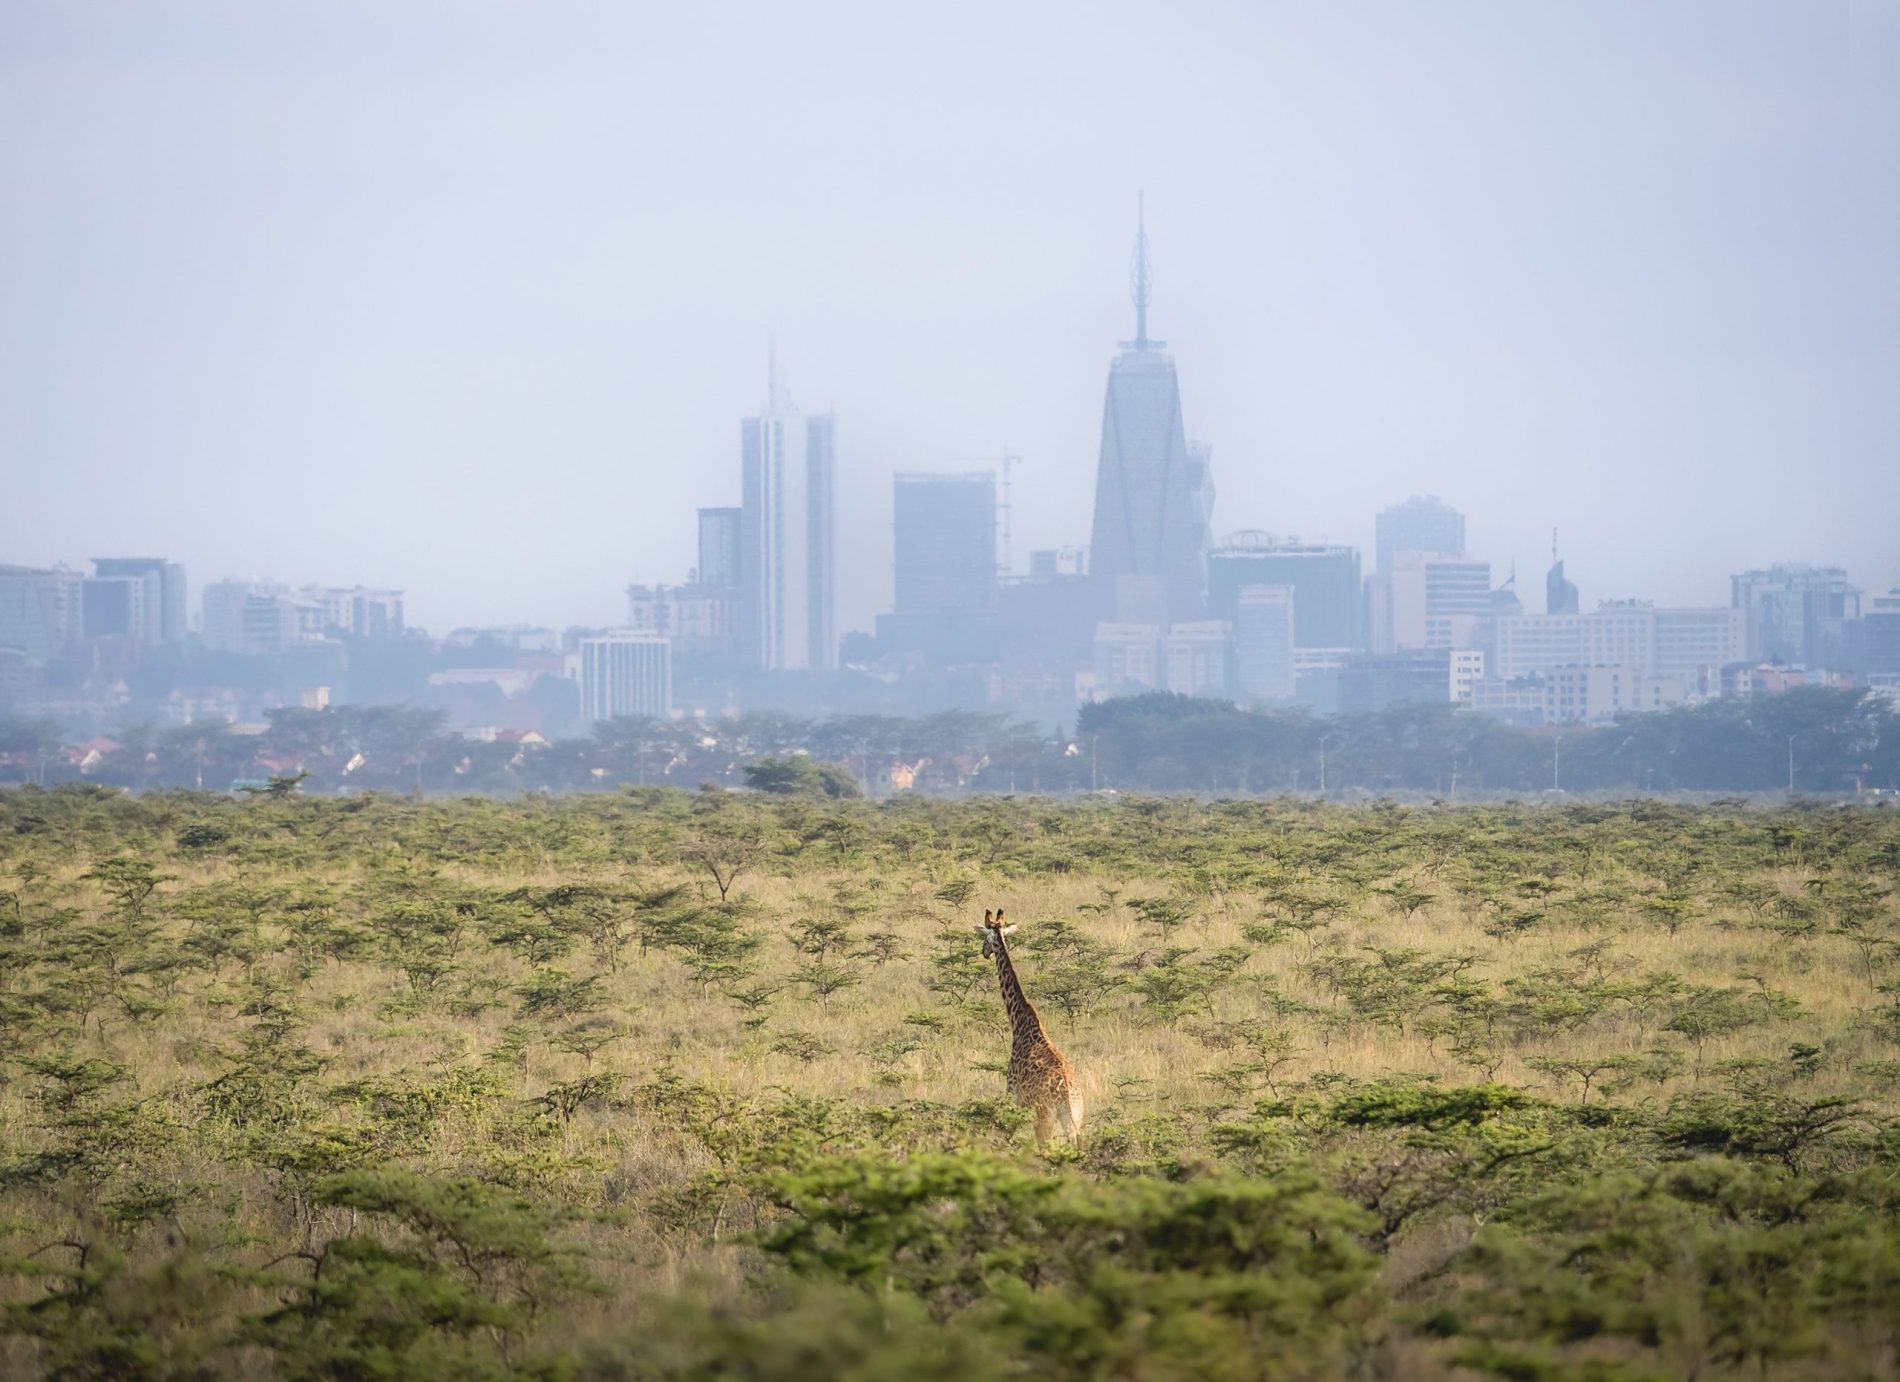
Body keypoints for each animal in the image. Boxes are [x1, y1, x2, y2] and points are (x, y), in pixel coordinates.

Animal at [978, 908, 1084, 1144]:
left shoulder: (1012, 1092)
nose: (984, 952)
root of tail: (1066, 1093)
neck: (1020, 1022)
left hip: (1043, 1119)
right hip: (1074, 1119)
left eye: (984, 938)